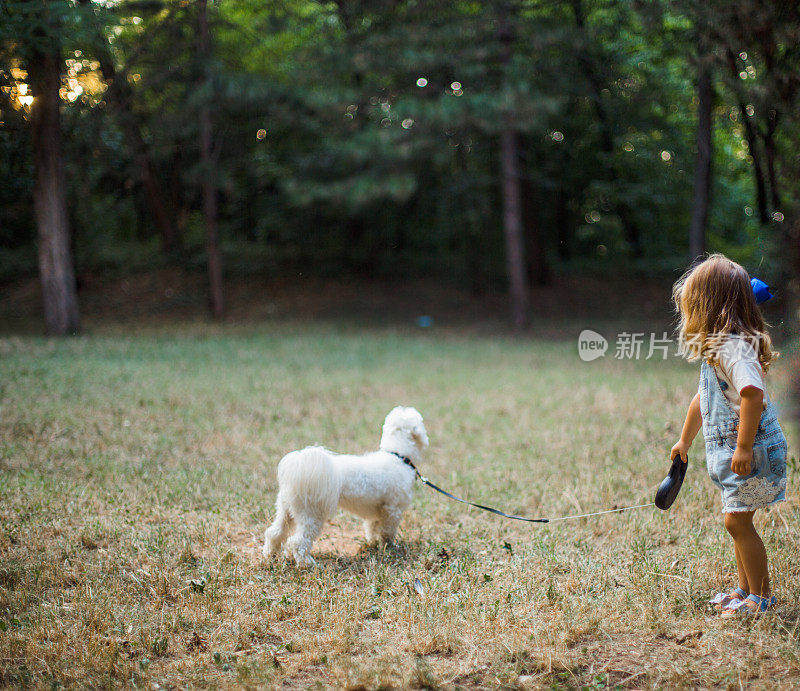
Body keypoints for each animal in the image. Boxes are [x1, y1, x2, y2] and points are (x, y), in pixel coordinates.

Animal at [262, 406, 428, 568]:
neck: (397, 455)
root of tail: (300, 468)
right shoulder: (392, 510)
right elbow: (387, 532)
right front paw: (389, 548)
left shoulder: (376, 511)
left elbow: (372, 529)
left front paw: (373, 545)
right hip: (311, 514)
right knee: (297, 542)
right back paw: (307, 564)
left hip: (286, 510)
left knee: (274, 532)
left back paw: (270, 556)